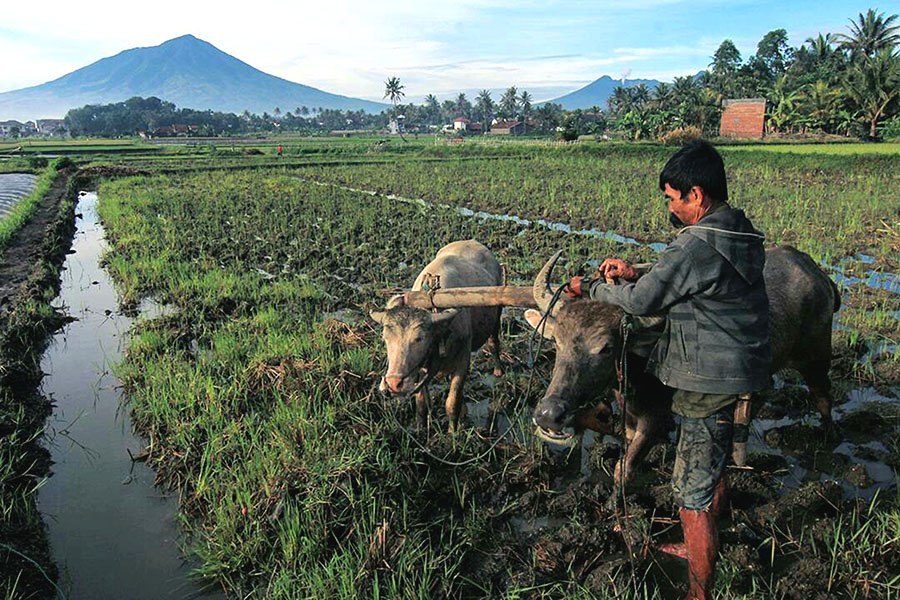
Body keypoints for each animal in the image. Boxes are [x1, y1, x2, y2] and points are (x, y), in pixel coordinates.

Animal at [370, 239, 502, 432]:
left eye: (419, 338)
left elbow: (452, 402)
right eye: (385, 338)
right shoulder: (419, 371)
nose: (394, 384)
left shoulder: (462, 362)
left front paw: (453, 432)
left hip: (497, 317)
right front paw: (421, 429)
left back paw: (498, 370)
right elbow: (421, 404)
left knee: (494, 343)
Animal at [524, 246, 840, 486]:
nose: (549, 414)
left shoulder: (655, 418)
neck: (638, 367)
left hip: (816, 357)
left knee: (823, 395)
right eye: (557, 342)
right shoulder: (631, 417)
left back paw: (827, 436)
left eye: (605, 348)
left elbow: (622, 470)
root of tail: (818, 274)